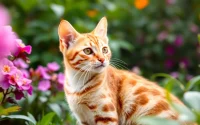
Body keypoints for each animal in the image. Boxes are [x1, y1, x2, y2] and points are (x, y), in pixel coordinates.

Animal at [57, 17, 188, 124]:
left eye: (104, 50)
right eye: (88, 51)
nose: (102, 59)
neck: (77, 82)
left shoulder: (107, 116)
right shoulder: (83, 119)